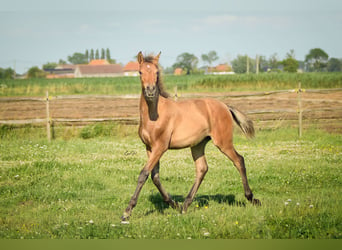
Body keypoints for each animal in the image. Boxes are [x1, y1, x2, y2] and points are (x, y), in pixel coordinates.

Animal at [121, 51, 260, 222]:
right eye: (140, 72)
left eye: (157, 72)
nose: (151, 91)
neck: (154, 115)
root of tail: (225, 106)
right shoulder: (149, 147)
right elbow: (155, 176)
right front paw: (173, 204)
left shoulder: (160, 147)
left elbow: (144, 174)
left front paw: (127, 212)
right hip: (198, 145)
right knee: (202, 168)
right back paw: (185, 206)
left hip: (223, 142)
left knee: (239, 160)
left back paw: (251, 198)